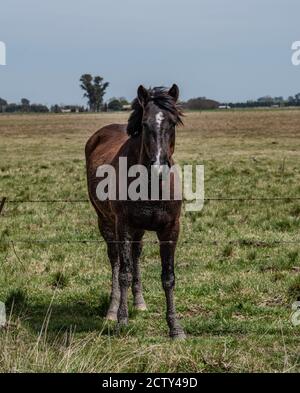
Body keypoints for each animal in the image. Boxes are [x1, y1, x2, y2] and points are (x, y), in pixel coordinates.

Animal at [85, 84, 185, 338]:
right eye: (145, 124)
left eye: (172, 123)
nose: (159, 167)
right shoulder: (123, 227)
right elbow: (124, 273)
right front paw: (122, 319)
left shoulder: (171, 229)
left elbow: (168, 277)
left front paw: (175, 327)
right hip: (106, 223)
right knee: (115, 260)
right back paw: (112, 310)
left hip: (139, 230)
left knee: (137, 255)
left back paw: (139, 302)